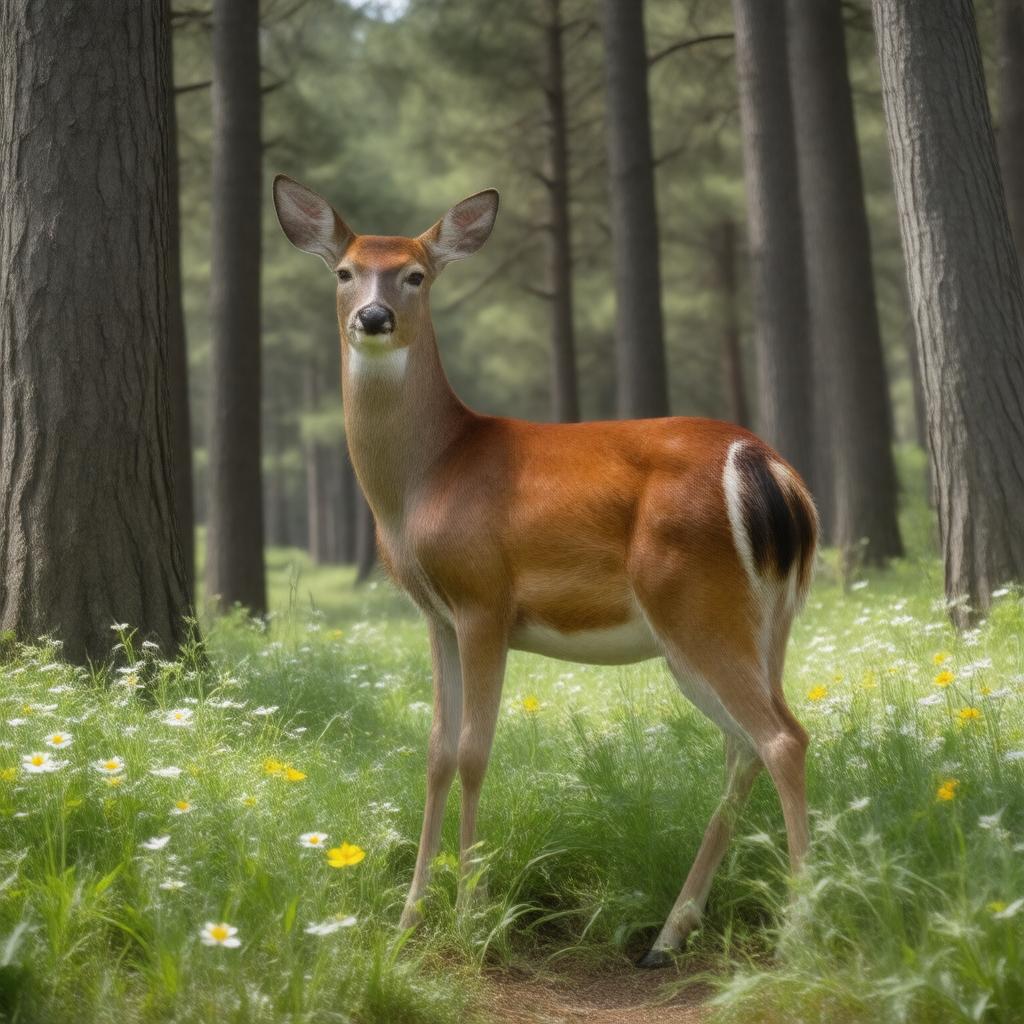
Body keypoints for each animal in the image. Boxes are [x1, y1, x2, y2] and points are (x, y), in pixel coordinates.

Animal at [272, 175, 818, 968]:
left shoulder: (482, 599)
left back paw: (799, 933)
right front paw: (408, 919)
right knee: (744, 746)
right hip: (761, 618)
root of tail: (767, 466)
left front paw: (469, 916)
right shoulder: (434, 615)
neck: (427, 479)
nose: (374, 317)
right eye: (345, 272)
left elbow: (474, 753)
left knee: (782, 738)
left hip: (695, 603)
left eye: (416, 274)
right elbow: (435, 753)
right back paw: (667, 936)